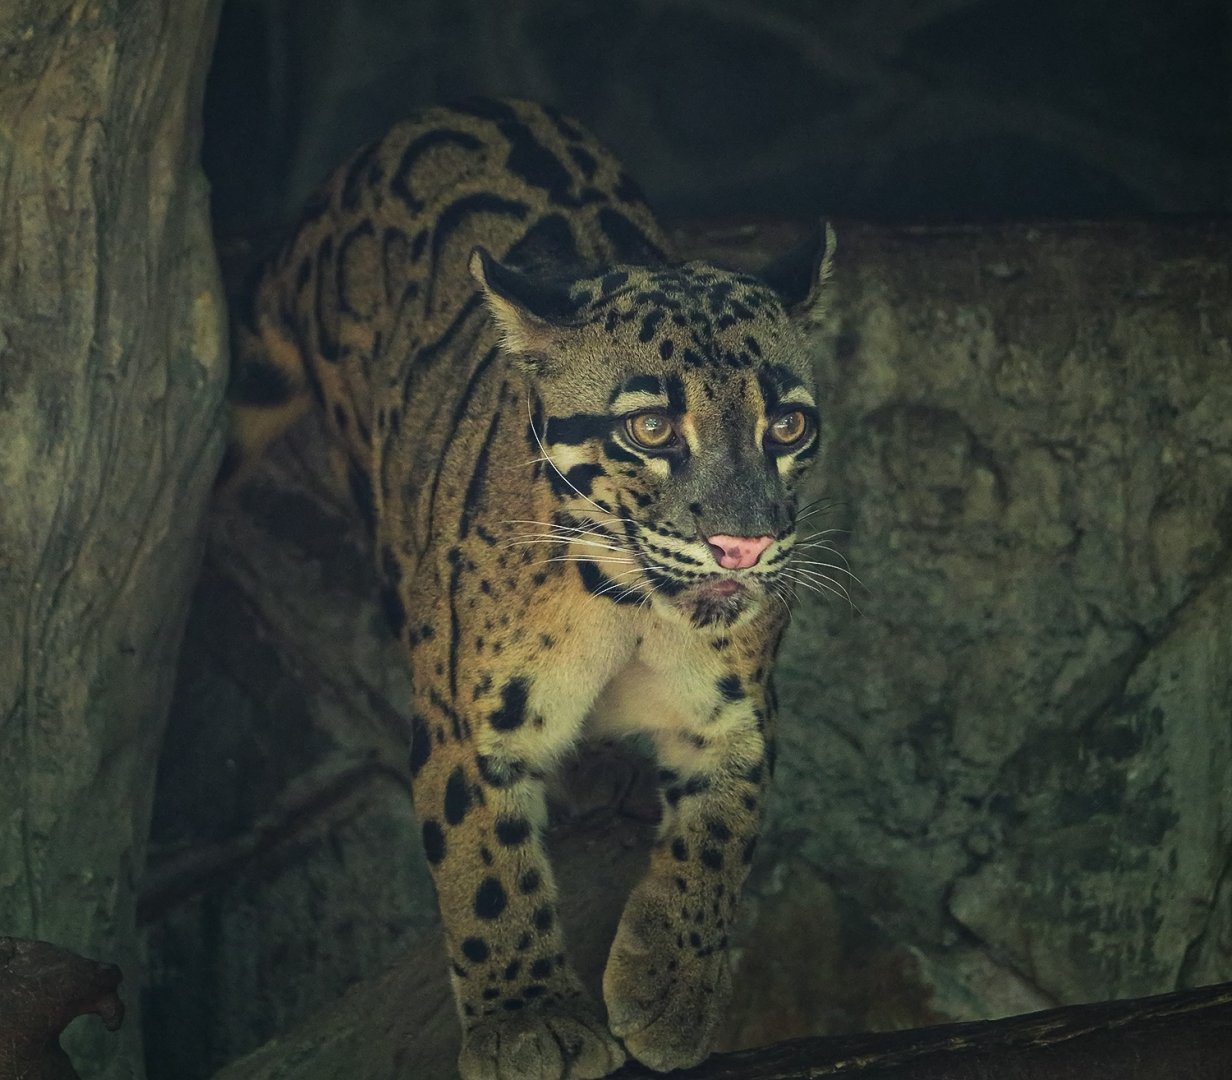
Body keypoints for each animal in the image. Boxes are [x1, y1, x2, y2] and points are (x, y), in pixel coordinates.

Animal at [221, 97, 835, 1079]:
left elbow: (722, 834)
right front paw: (527, 1018)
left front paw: (671, 986)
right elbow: (482, 866)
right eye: (651, 428)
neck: (629, 604)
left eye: (787, 426)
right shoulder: (464, 714)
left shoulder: (740, 708)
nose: (744, 545)